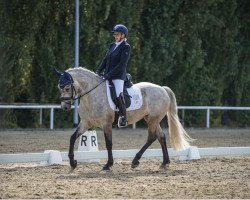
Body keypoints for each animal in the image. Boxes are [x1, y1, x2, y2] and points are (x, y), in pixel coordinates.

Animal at [54, 67, 191, 170]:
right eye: (59, 88)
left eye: (67, 88)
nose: (64, 107)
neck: (92, 95)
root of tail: (162, 89)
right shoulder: (86, 123)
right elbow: (72, 138)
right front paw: (73, 163)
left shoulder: (106, 124)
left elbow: (109, 143)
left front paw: (108, 165)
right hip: (151, 119)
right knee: (161, 137)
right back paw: (164, 162)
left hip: (153, 119)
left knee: (152, 137)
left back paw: (135, 161)